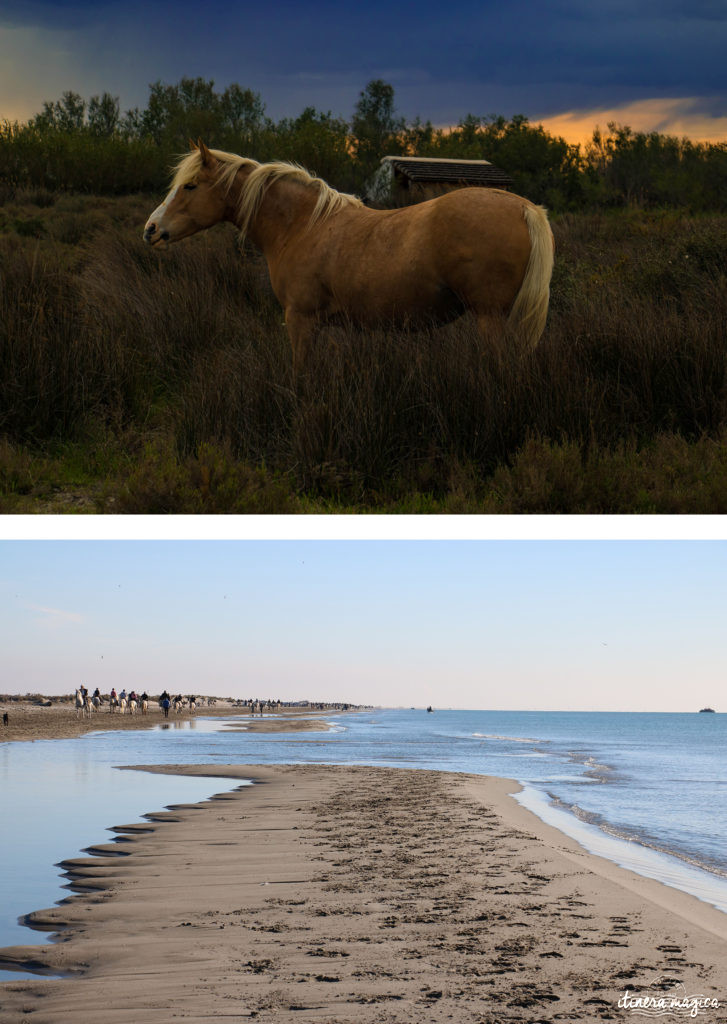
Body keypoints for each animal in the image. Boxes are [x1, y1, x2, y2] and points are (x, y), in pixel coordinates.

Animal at [142, 141, 557, 368]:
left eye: (190, 186)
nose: (151, 229)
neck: (302, 224)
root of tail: (524, 207)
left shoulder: (301, 320)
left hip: (489, 318)